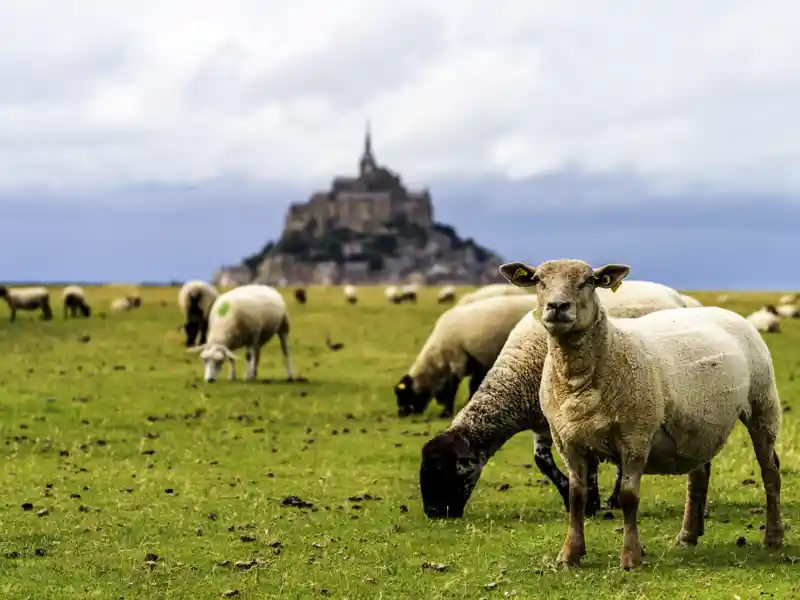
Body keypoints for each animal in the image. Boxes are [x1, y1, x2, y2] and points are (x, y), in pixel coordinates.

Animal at [418, 278, 688, 516]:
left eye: (441, 467)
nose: (433, 513)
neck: (519, 377)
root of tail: (675, 296)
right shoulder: (542, 420)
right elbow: (542, 461)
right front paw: (573, 497)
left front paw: (591, 503)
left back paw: (615, 499)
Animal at [496, 258, 784, 568]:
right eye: (538, 280)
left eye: (590, 281)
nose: (558, 306)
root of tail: (729, 314)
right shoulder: (568, 442)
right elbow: (576, 497)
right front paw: (569, 555)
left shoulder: (635, 437)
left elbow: (628, 497)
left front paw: (630, 557)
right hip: (700, 422)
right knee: (699, 474)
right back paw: (688, 535)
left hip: (762, 405)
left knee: (770, 471)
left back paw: (773, 537)